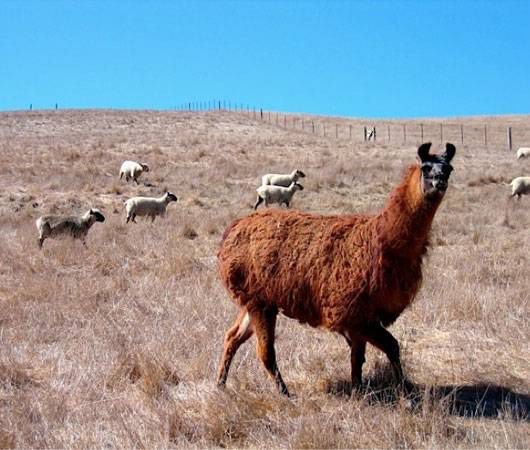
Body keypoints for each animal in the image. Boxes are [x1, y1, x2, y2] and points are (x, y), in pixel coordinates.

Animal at [214, 142, 454, 396]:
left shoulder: (362, 315)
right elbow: (389, 347)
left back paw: (221, 384)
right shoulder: (353, 312)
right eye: (426, 168)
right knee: (265, 352)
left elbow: (360, 357)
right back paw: (285, 393)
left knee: (232, 336)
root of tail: (234, 228)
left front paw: (360, 391)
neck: (380, 241)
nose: (440, 182)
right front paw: (403, 391)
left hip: (256, 299)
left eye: (449, 169)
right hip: (259, 301)